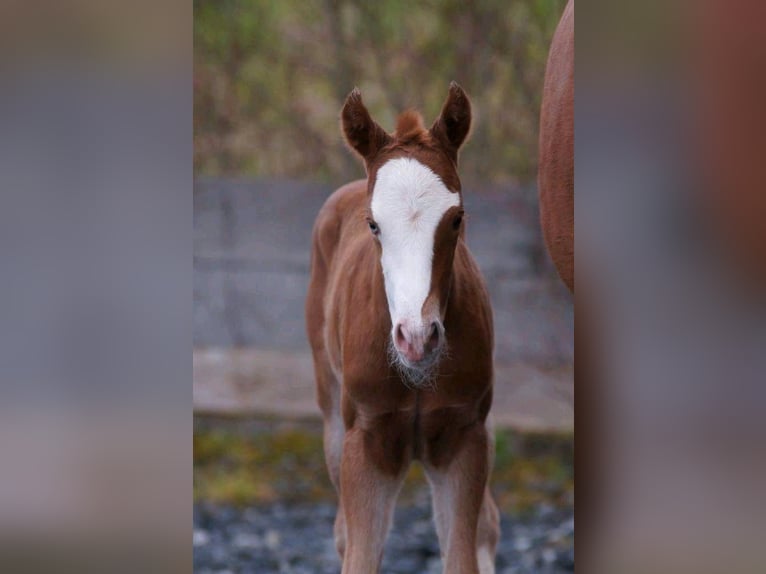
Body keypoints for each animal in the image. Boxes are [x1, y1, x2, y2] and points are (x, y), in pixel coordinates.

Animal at [308, 82, 500, 574]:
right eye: (373, 224)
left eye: (457, 219)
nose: (416, 337)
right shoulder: (366, 441)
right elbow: (359, 554)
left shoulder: (464, 437)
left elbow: (462, 555)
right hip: (332, 420)